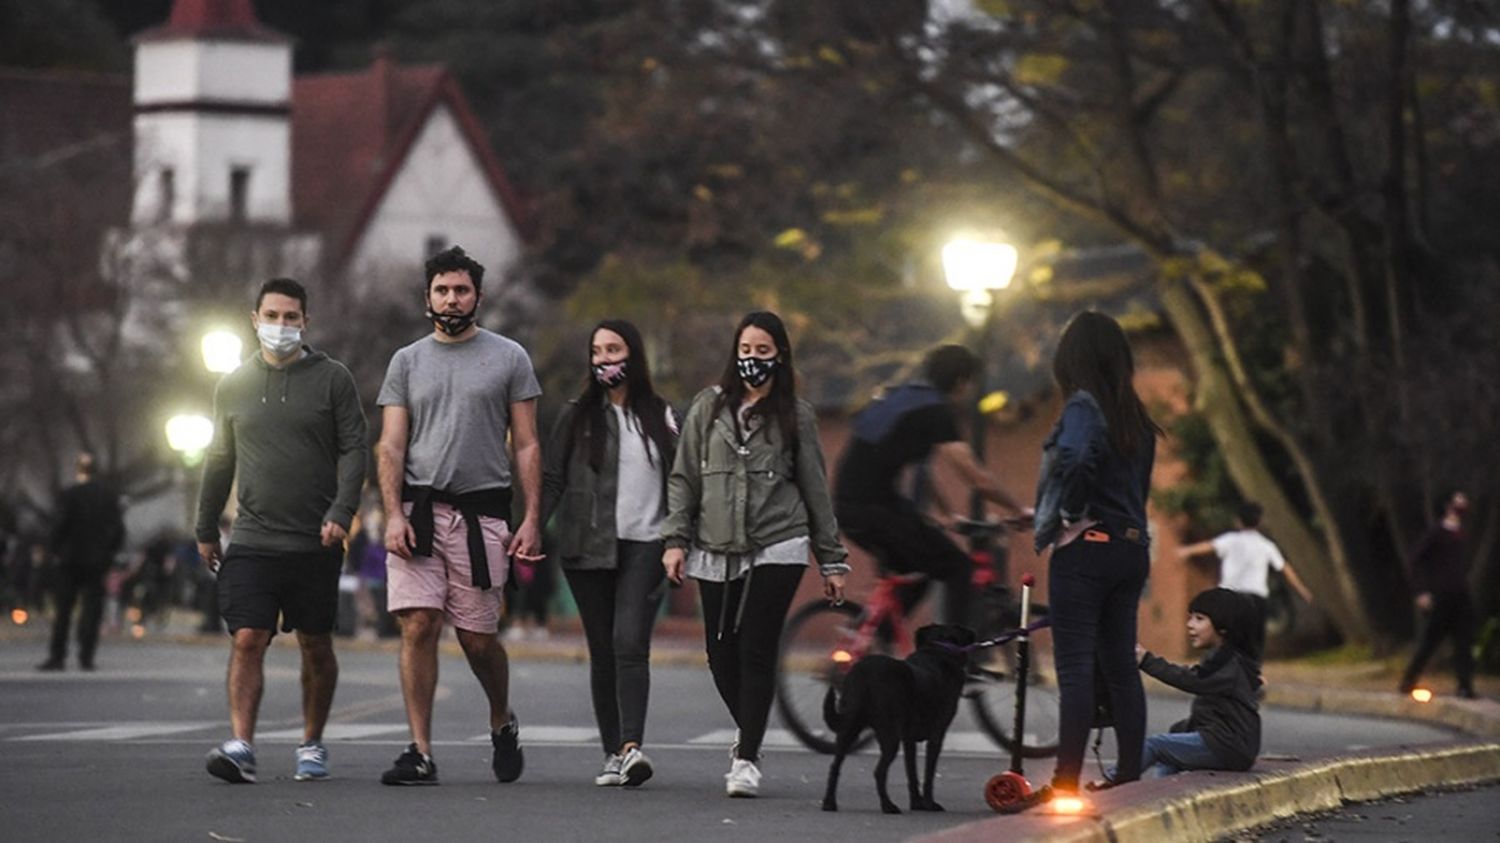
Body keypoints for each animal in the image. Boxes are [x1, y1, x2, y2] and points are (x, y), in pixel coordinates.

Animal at [816, 621, 978, 810]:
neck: (938, 650)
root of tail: (864, 672)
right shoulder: (936, 736)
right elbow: (928, 774)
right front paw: (929, 804)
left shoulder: (908, 739)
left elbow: (912, 771)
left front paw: (916, 803)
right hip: (890, 734)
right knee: (879, 771)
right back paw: (888, 805)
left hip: (849, 728)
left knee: (835, 765)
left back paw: (829, 802)